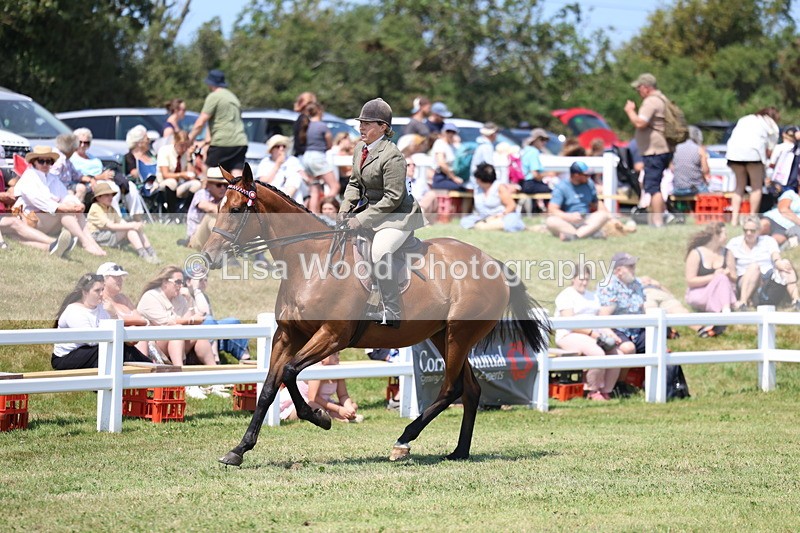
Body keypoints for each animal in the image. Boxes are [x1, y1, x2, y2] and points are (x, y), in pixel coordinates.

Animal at [201, 164, 550, 466]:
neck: (309, 261)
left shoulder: (332, 335)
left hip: (458, 336)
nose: (208, 257)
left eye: (236, 210)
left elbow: (288, 372)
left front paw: (320, 418)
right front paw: (239, 449)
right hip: (444, 336)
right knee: (472, 389)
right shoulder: (287, 334)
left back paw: (404, 441)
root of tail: (493, 264)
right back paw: (459, 451)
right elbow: (269, 388)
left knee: (452, 389)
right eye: (218, 206)